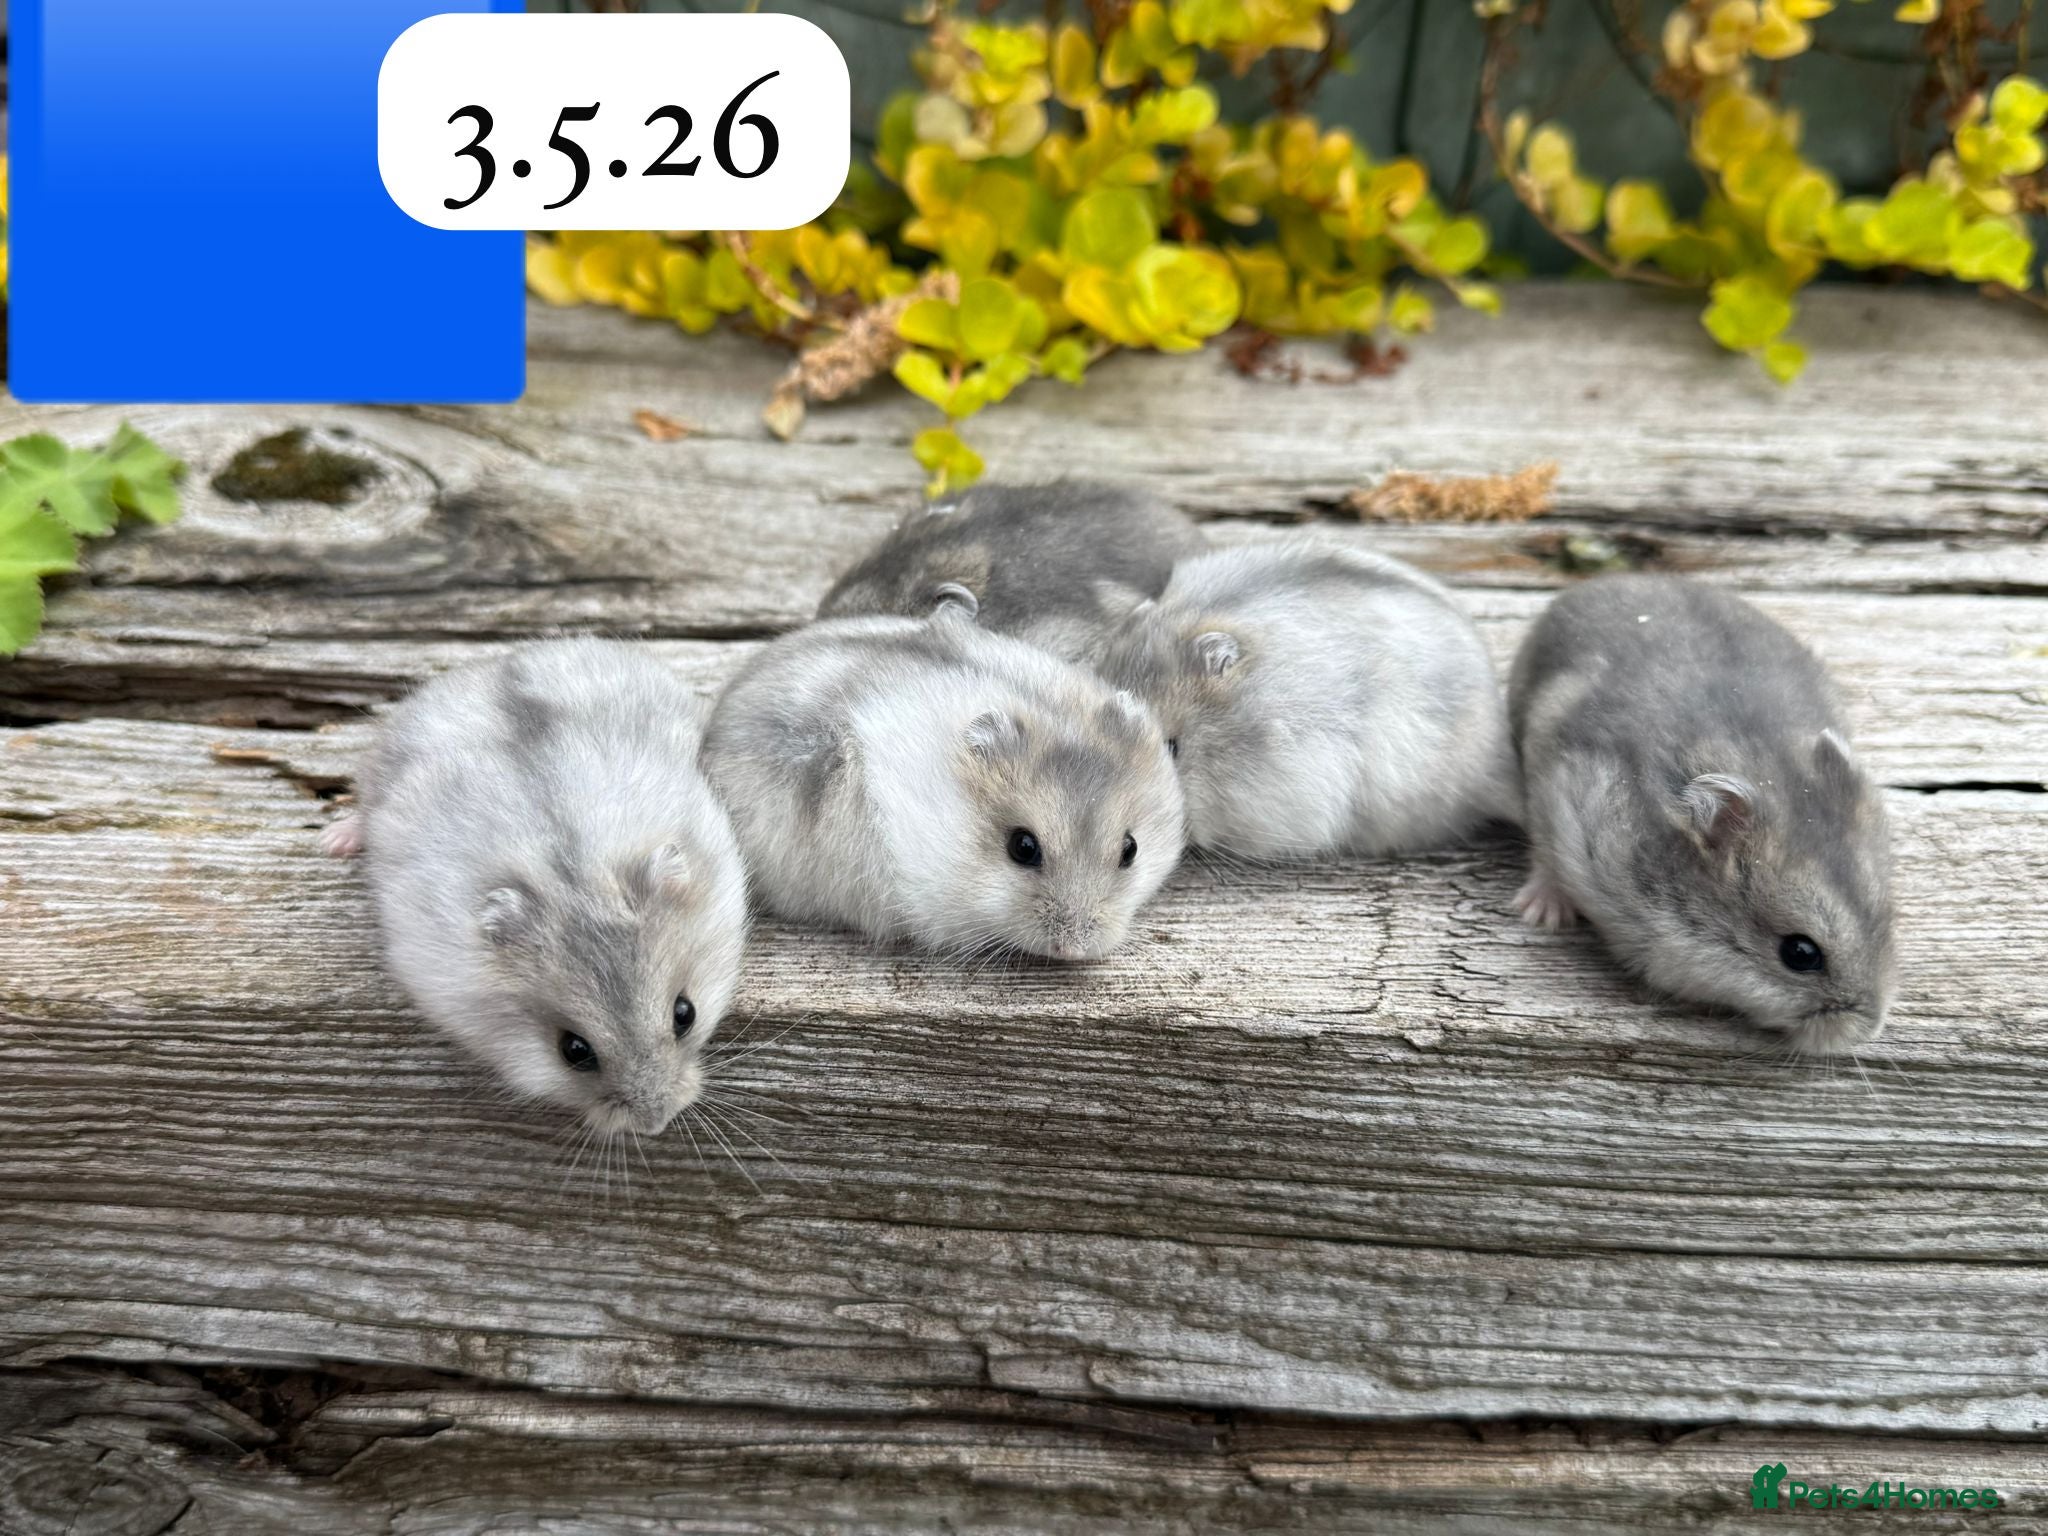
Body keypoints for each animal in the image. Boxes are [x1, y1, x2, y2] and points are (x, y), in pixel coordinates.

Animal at [320, 639, 749, 1134]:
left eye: (686, 1014)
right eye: (573, 1051)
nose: (655, 1125)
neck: (571, 874)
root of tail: (494, 660)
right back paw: (333, 841)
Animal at [1508, 574, 1896, 1055]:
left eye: (1887, 918)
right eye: (1800, 954)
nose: (1869, 1030)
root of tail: (1598, 583)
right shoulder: (1557, 795)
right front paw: (1539, 917)